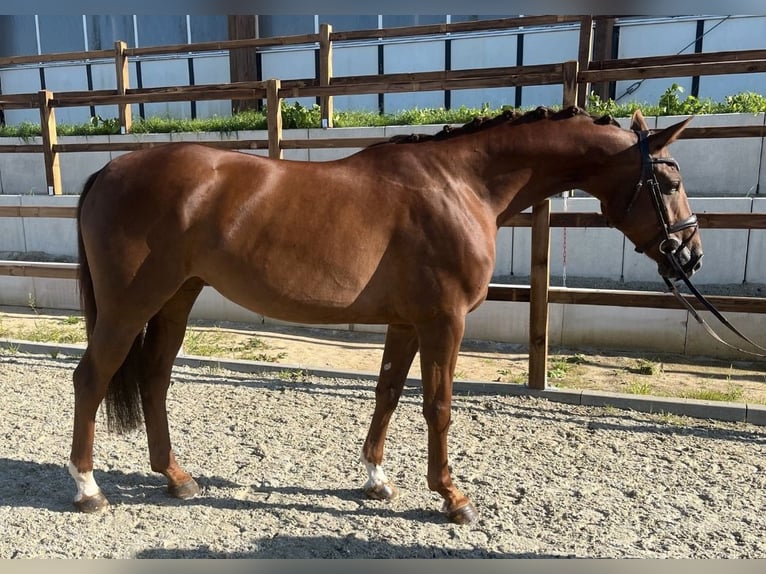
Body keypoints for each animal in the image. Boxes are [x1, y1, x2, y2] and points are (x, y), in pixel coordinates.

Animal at [69, 107, 704, 528]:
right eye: (669, 181)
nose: (690, 255)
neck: (460, 187)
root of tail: (109, 171)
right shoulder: (444, 322)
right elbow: (438, 406)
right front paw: (452, 498)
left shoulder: (405, 323)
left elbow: (388, 394)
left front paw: (376, 480)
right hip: (129, 305)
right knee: (92, 379)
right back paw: (88, 488)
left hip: (177, 297)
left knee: (154, 378)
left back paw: (176, 478)